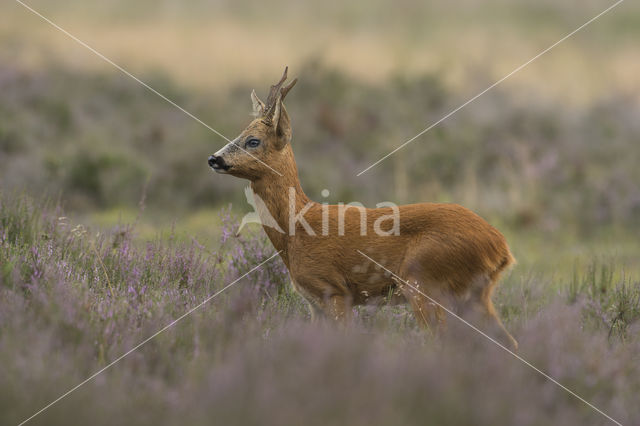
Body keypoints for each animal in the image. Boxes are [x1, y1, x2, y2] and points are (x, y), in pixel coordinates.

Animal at [208, 67, 516, 350]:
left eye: (253, 141)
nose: (214, 159)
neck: (296, 229)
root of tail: (501, 248)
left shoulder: (334, 290)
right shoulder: (313, 303)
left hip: (424, 282)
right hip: (473, 294)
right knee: (508, 342)